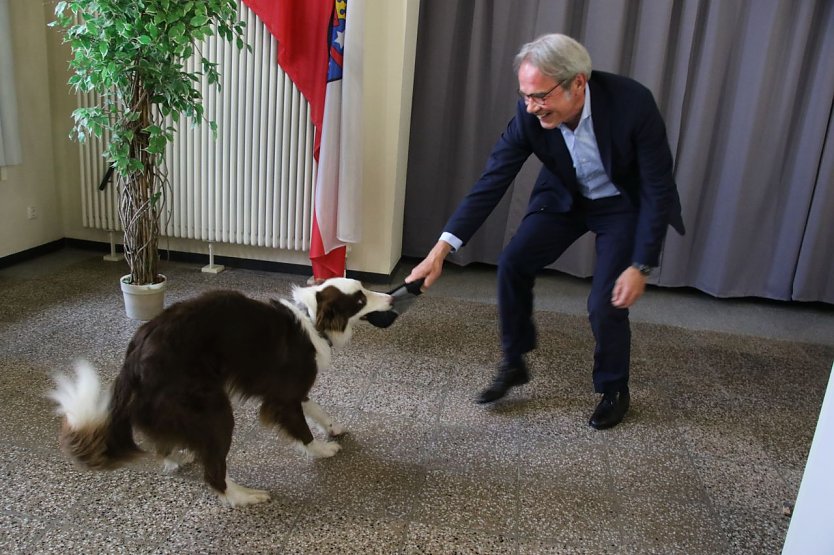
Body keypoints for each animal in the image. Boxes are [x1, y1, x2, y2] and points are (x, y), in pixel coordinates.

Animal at [48, 278, 390, 508]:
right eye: (360, 300)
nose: (389, 298)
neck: (311, 316)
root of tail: (132, 360)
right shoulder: (284, 396)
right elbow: (301, 429)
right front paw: (321, 449)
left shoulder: (291, 389)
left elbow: (316, 408)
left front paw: (334, 427)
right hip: (213, 411)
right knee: (213, 473)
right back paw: (244, 496)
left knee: (165, 445)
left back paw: (179, 457)